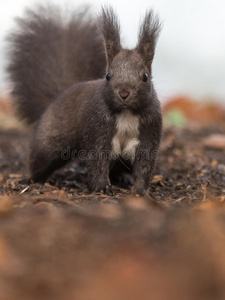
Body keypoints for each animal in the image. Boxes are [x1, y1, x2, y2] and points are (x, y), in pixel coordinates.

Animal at [6, 5, 162, 197]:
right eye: (108, 75)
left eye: (145, 77)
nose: (124, 93)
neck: (126, 113)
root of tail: (59, 96)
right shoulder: (97, 128)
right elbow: (97, 162)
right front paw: (102, 187)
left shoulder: (149, 131)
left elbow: (144, 165)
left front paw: (141, 191)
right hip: (50, 140)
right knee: (40, 159)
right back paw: (32, 179)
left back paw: (123, 178)